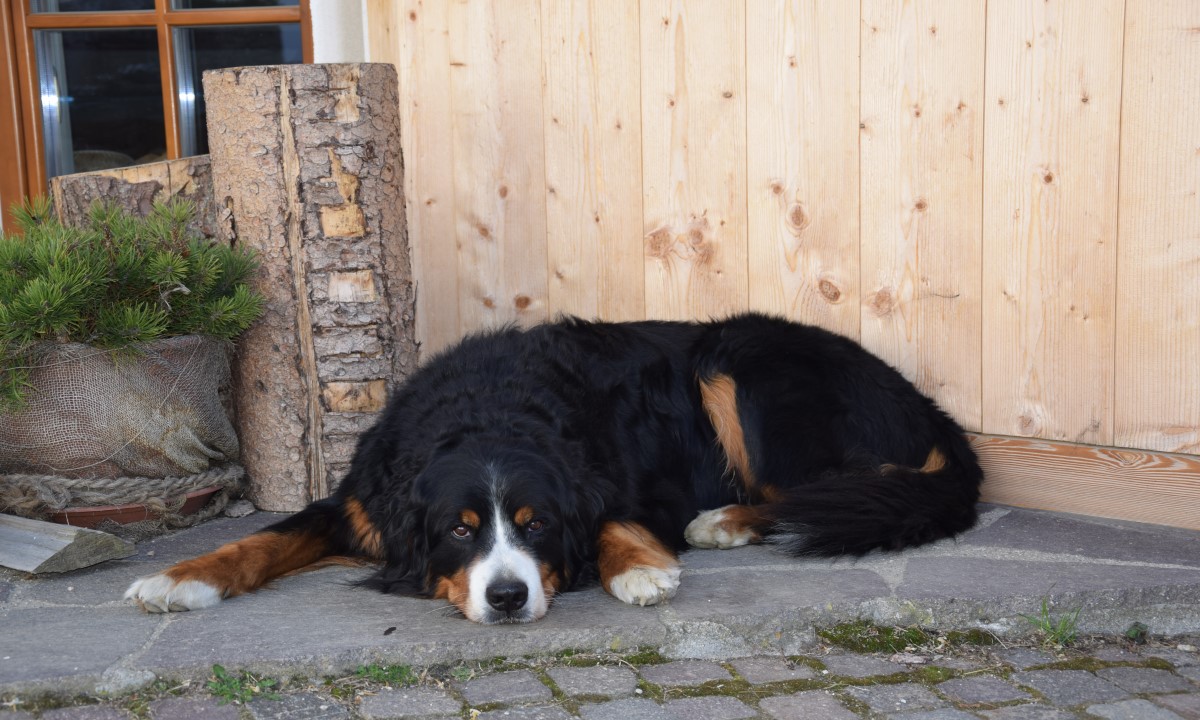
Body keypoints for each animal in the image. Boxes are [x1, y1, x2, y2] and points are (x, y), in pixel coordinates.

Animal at [126, 314, 979, 624]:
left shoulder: (628, 485)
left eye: (535, 527)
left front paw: (640, 569)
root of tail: (921, 399)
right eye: (459, 531)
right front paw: (180, 577)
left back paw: (725, 519)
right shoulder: (361, 503)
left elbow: (613, 520)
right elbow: (267, 537)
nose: (506, 598)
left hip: (737, 361)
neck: (487, 410)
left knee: (833, 489)